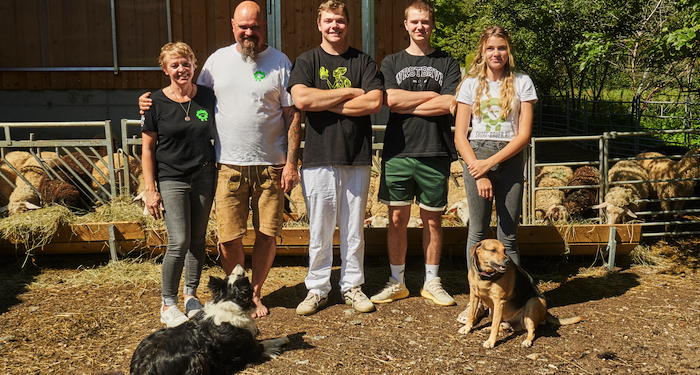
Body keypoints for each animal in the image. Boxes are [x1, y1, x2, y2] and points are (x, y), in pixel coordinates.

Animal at [130, 266, 288, 374]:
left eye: (231, 275)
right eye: (237, 274)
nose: (238, 265)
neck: (228, 303)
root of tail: (139, 368)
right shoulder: (248, 347)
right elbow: (264, 343)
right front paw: (280, 343)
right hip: (198, 357)